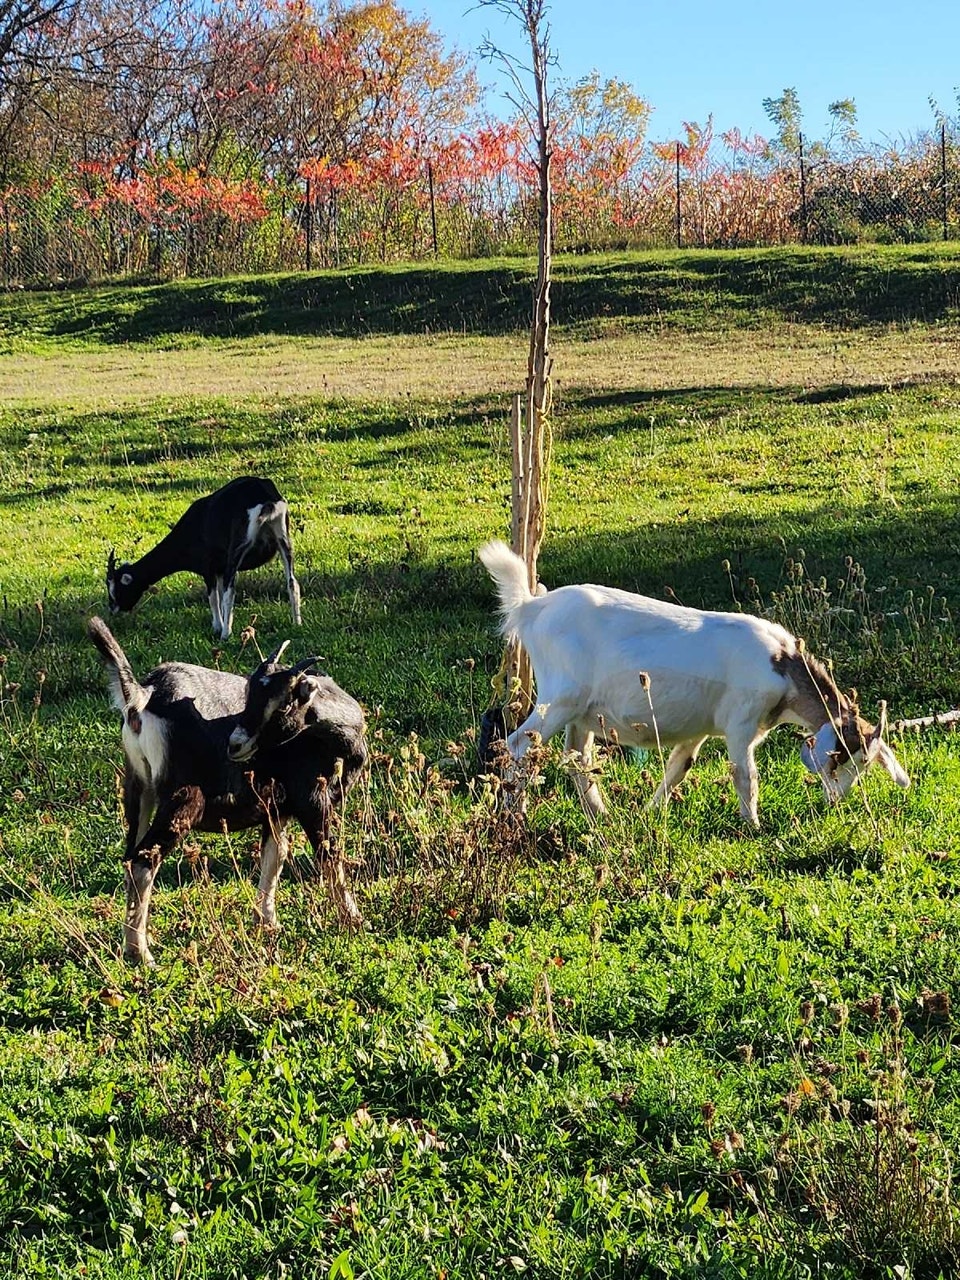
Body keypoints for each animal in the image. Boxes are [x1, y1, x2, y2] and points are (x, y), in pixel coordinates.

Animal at [88, 617, 367, 965]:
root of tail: (143, 695)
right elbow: (329, 854)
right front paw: (353, 918)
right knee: (143, 861)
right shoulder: (311, 799)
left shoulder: (277, 809)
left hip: (139, 790)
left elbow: (275, 855)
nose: (235, 744)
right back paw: (142, 954)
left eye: (283, 703)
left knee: (129, 858)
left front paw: (267, 922)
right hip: (181, 800)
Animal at [106, 476, 302, 641]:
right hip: (283, 538)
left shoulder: (209, 567)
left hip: (239, 546)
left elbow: (214, 597)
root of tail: (265, 495)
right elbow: (219, 594)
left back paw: (225, 635)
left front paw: (217, 626)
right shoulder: (220, 570)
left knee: (230, 592)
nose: (112, 609)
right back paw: (296, 623)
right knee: (292, 582)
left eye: (116, 591)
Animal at [479, 540, 909, 825]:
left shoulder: (700, 729)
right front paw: (753, 827)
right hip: (560, 696)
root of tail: (533, 607)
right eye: (842, 758)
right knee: (519, 744)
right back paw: (514, 814)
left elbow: (679, 767)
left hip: (582, 712)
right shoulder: (740, 722)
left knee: (577, 759)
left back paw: (602, 816)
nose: (836, 801)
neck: (782, 666)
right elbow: (745, 776)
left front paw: (651, 811)